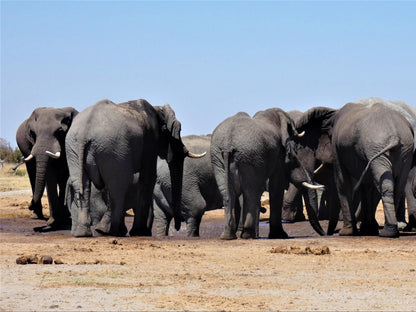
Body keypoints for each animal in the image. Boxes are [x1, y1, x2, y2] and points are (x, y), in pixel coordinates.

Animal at [64, 98, 205, 238]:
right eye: (179, 131)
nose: (177, 227)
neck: (157, 110)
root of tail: (85, 131)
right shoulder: (150, 140)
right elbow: (149, 177)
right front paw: (140, 232)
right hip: (113, 149)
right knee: (118, 186)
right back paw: (114, 232)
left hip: (74, 148)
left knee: (82, 185)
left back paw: (84, 233)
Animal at [211, 107, 324, 239]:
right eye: (292, 159)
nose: (325, 234)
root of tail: (228, 144)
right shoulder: (278, 154)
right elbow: (277, 185)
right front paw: (280, 235)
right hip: (249, 158)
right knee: (251, 192)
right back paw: (248, 235)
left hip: (219, 160)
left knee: (228, 193)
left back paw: (228, 236)